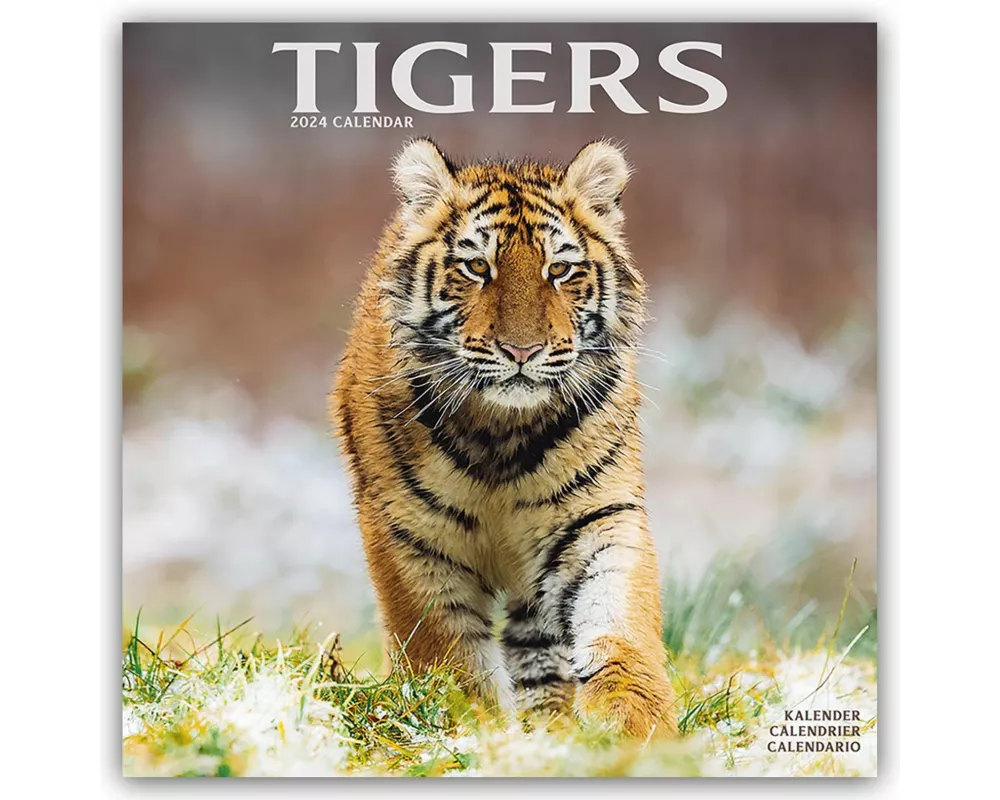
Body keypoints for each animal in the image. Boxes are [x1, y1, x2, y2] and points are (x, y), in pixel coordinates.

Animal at [330, 138, 677, 739]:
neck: (502, 432)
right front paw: (471, 724)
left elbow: (617, 613)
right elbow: (445, 649)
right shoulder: (411, 537)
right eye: (476, 266)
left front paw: (637, 719)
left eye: (560, 269)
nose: (522, 351)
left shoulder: (597, 515)